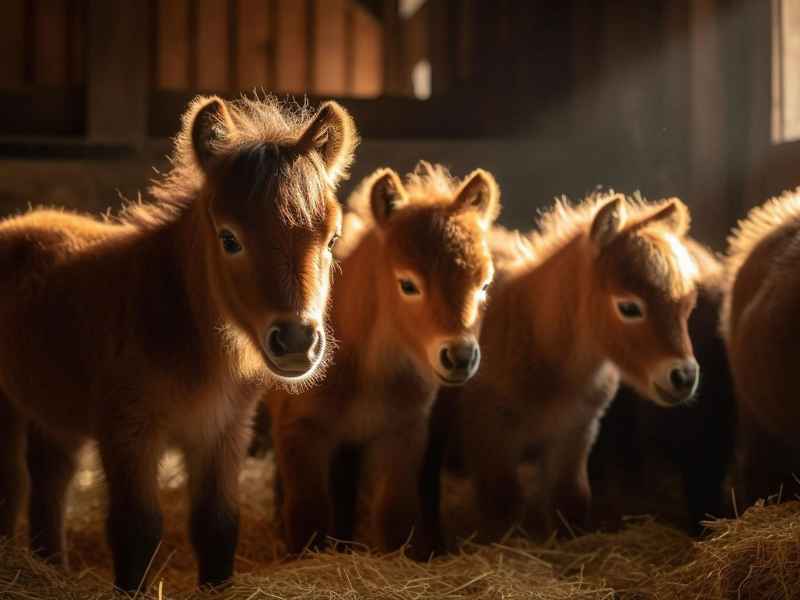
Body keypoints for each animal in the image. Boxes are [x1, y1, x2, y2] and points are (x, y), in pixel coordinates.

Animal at [0, 94, 357, 591]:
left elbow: (217, 526)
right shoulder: (128, 433)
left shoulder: (222, 432)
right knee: (13, 483)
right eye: (229, 239)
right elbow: (136, 530)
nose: (296, 341)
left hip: (52, 413)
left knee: (50, 478)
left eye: (332, 239)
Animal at [266, 162, 500, 558]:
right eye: (408, 284)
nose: (459, 356)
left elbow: (395, 512)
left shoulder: (403, 431)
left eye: (483, 285)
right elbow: (307, 511)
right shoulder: (301, 429)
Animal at [422, 192, 700, 545]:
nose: (684, 377)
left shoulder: (574, 435)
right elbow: (502, 505)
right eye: (628, 307)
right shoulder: (491, 441)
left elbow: (570, 499)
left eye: (688, 305)